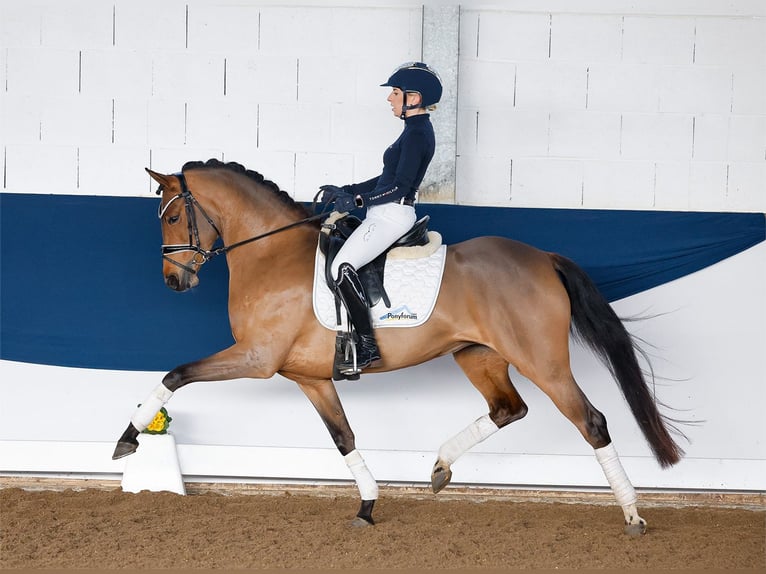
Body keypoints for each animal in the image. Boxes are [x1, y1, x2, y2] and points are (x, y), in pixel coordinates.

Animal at [112, 160, 684, 536]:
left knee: (591, 421)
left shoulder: (255, 358)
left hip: (542, 361)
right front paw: (367, 506)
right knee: (508, 408)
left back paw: (633, 516)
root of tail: (541, 257)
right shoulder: (310, 378)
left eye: (170, 217)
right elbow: (343, 437)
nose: (174, 282)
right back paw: (440, 468)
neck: (270, 252)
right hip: (477, 354)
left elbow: (176, 374)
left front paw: (128, 439)